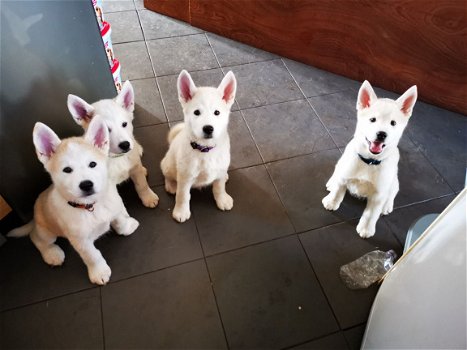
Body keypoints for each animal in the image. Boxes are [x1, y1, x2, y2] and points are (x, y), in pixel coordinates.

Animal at [7, 117, 139, 284]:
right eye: (67, 170)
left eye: (93, 164)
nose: (86, 184)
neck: (91, 207)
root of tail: (34, 219)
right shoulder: (80, 241)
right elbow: (92, 256)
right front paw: (99, 272)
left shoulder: (113, 209)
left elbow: (120, 220)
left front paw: (127, 227)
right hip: (47, 231)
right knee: (36, 238)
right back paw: (52, 254)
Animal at [66, 80, 159, 208]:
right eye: (105, 129)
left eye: (124, 124)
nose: (125, 145)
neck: (117, 158)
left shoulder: (134, 168)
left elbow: (142, 184)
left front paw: (148, 197)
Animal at [163, 70, 239, 223]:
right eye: (196, 112)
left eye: (217, 112)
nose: (208, 128)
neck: (205, 150)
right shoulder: (185, 177)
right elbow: (183, 196)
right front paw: (181, 211)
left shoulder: (219, 170)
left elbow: (219, 188)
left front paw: (222, 199)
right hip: (168, 165)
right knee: (167, 175)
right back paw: (171, 185)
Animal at [324, 80, 418, 238]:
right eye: (372, 119)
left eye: (393, 123)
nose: (381, 134)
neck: (369, 162)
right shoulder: (345, 175)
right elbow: (338, 191)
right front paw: (331, 202)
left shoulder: (379, 194)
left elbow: (371, 214)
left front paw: (366, 229)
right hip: (341, 164)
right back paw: (331, 182)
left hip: (394, 181)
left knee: (393, 192)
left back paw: (387, 206)